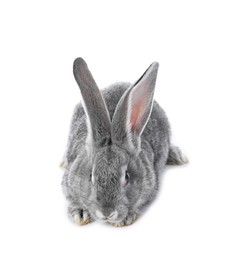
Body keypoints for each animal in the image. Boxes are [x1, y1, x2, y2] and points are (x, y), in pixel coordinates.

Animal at [60, 58, 188, 226]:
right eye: (90, 176)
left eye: (127, 177)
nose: (106, 213)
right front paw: (80, 213)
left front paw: (125, 219)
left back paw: (178, 156)